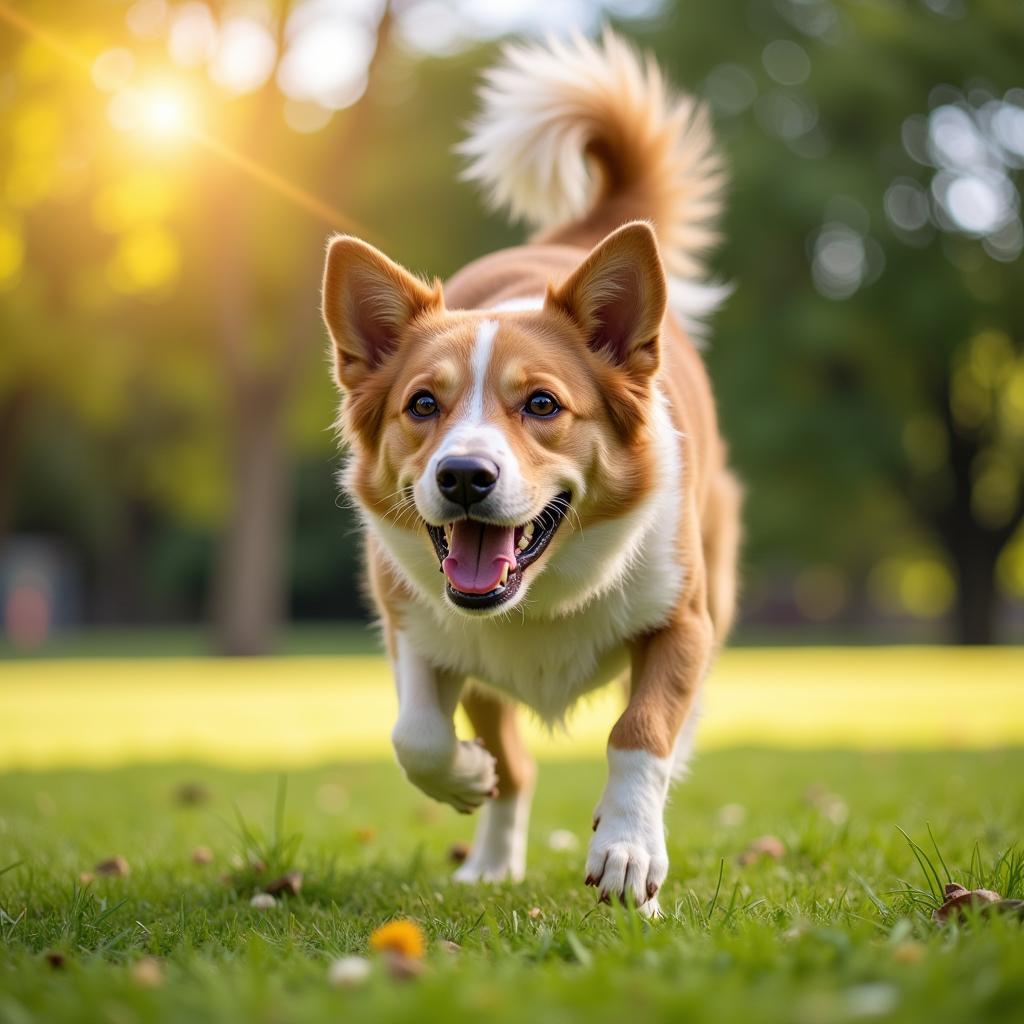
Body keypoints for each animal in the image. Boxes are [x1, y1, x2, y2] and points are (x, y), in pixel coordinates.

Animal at [317, 32, 737, 917]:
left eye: (542, 404)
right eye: (423, 404)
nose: (464, 477)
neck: (540, 599)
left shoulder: (683, 623)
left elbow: (639, 733)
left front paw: (627, 852)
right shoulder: (414, 624)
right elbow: (418, 735)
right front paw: (464, 775)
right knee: (515, 762)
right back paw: (490, 857)